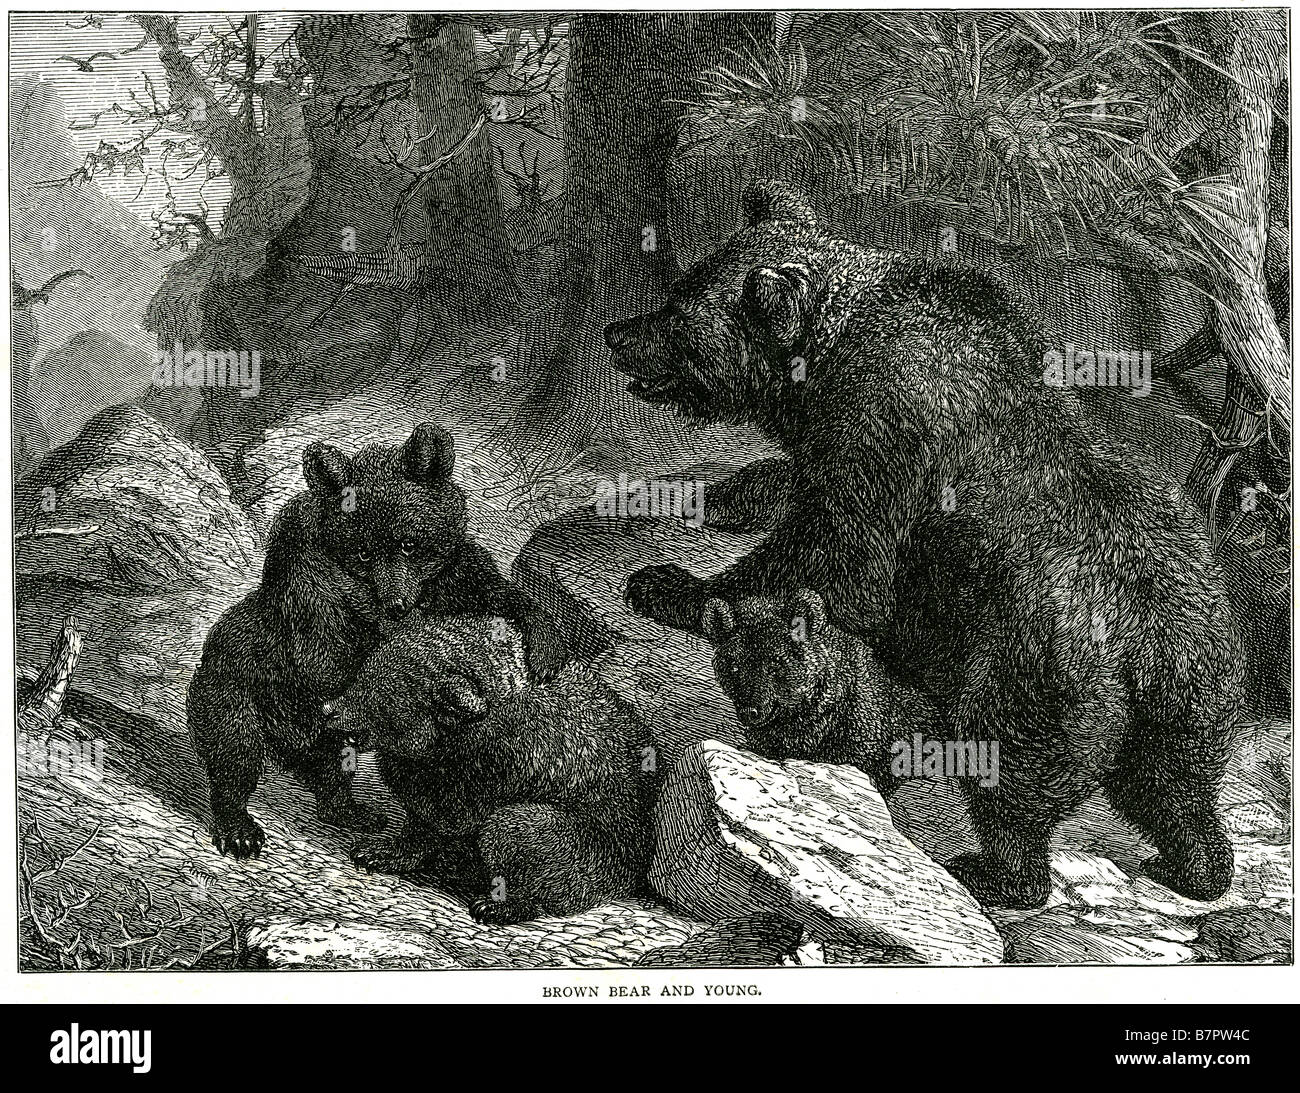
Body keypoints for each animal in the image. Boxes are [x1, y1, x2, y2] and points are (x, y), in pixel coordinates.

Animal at [187, 423, 566, 858]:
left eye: (410, 543)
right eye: (364, 553)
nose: (396, 604)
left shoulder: (456, 573)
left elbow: (504, 596)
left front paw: (545, 648)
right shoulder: (308, 586)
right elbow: (328, 653)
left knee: (331, 767)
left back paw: (354, 811)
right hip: (235, 691)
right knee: (235, 752)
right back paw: (239, 828)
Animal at [322, 614, 655, 924]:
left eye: (378, 697)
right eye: (362, 675)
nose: (327, 710)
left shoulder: (494, 763)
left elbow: (448, 816)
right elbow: (420, 821)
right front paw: (384, 851)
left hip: (584, 849)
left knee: (513, 829)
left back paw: (502, 904)